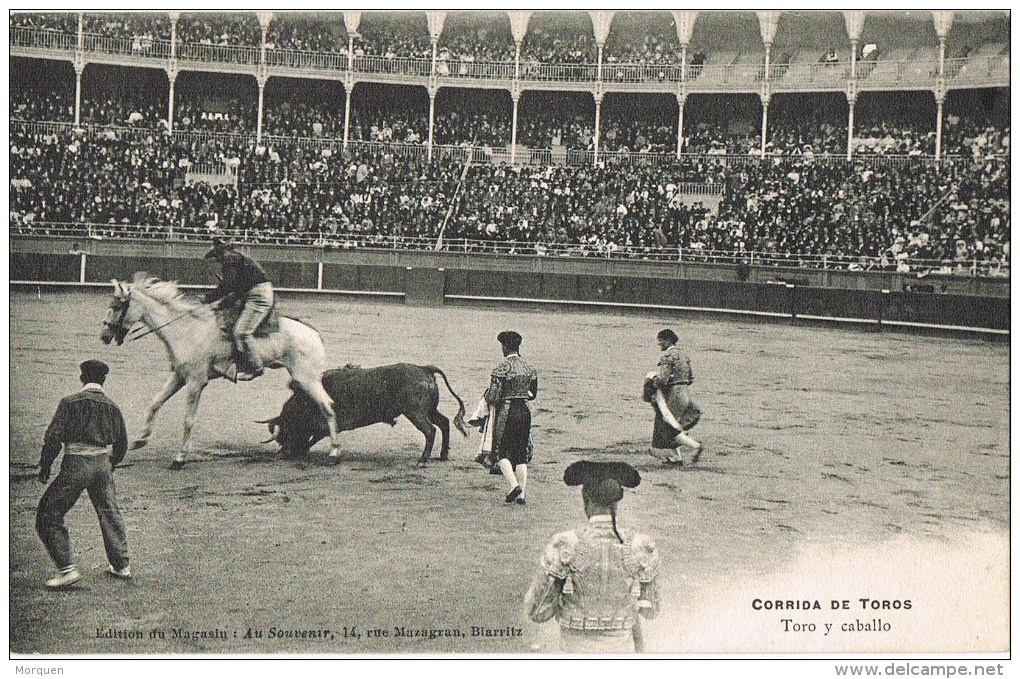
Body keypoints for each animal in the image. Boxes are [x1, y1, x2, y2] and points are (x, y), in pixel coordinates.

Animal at [102, 269, 342, 464]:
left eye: (117, 306)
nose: (104, 336)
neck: (186, 329)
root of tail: (314, 334)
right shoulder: (179, 376)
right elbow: (154, 404)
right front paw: (141, 439)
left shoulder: (196, 381)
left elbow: (188, 420)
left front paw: (180, 457)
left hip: (307, 378)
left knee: (328, 407)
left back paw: (334, 452)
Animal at [263, 362, 469, 462]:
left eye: (287, 428)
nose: (282, 452)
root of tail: (424, 368)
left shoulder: (325, 426)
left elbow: (313, 439)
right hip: (429, 410)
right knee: (444, 423)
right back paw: (443, 455)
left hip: (416, 412)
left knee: (430, 430)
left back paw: (423, 459)